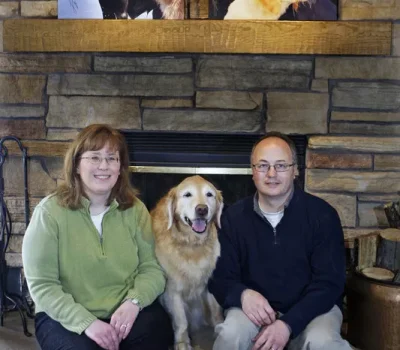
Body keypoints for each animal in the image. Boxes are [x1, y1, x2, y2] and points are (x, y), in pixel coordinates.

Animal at [152, 175, 223, 350]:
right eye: (187, 195)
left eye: (209, 194)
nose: (202, 209)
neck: (192, 244)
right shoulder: (172, 290)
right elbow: (181, 320)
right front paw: (182, 342)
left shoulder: (209, 282)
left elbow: (215, 310)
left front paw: (220, 327)